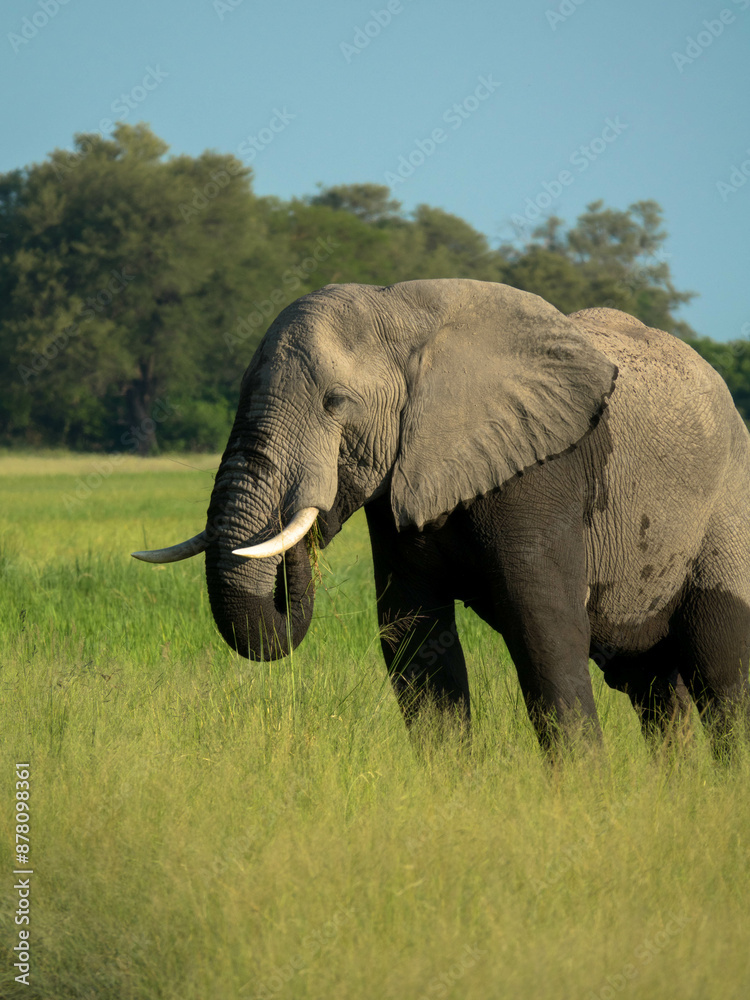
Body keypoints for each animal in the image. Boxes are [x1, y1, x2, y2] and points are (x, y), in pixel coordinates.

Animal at [133, 279, 750, 751]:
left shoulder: (540, 471)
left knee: (723, 672)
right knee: (653, 687)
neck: (403, 313)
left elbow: (544, 626)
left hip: (727, 507)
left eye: (336, 403)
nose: (312, 525)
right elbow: (412, 632)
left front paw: (581, 796)